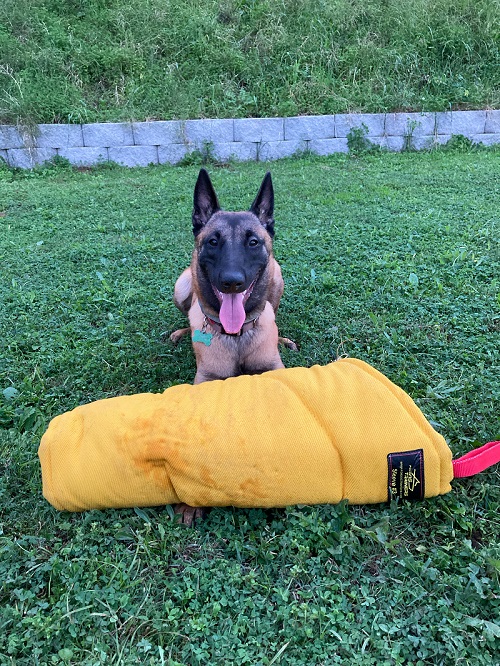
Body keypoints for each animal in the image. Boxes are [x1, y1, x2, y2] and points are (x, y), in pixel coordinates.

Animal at [170, 169, 294, 520]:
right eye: (213, 241)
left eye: (253, 242)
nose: (232, 282)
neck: (235, 335)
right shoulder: (206, 380)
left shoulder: (272, 369)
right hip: (181, 285)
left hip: (277, 277)